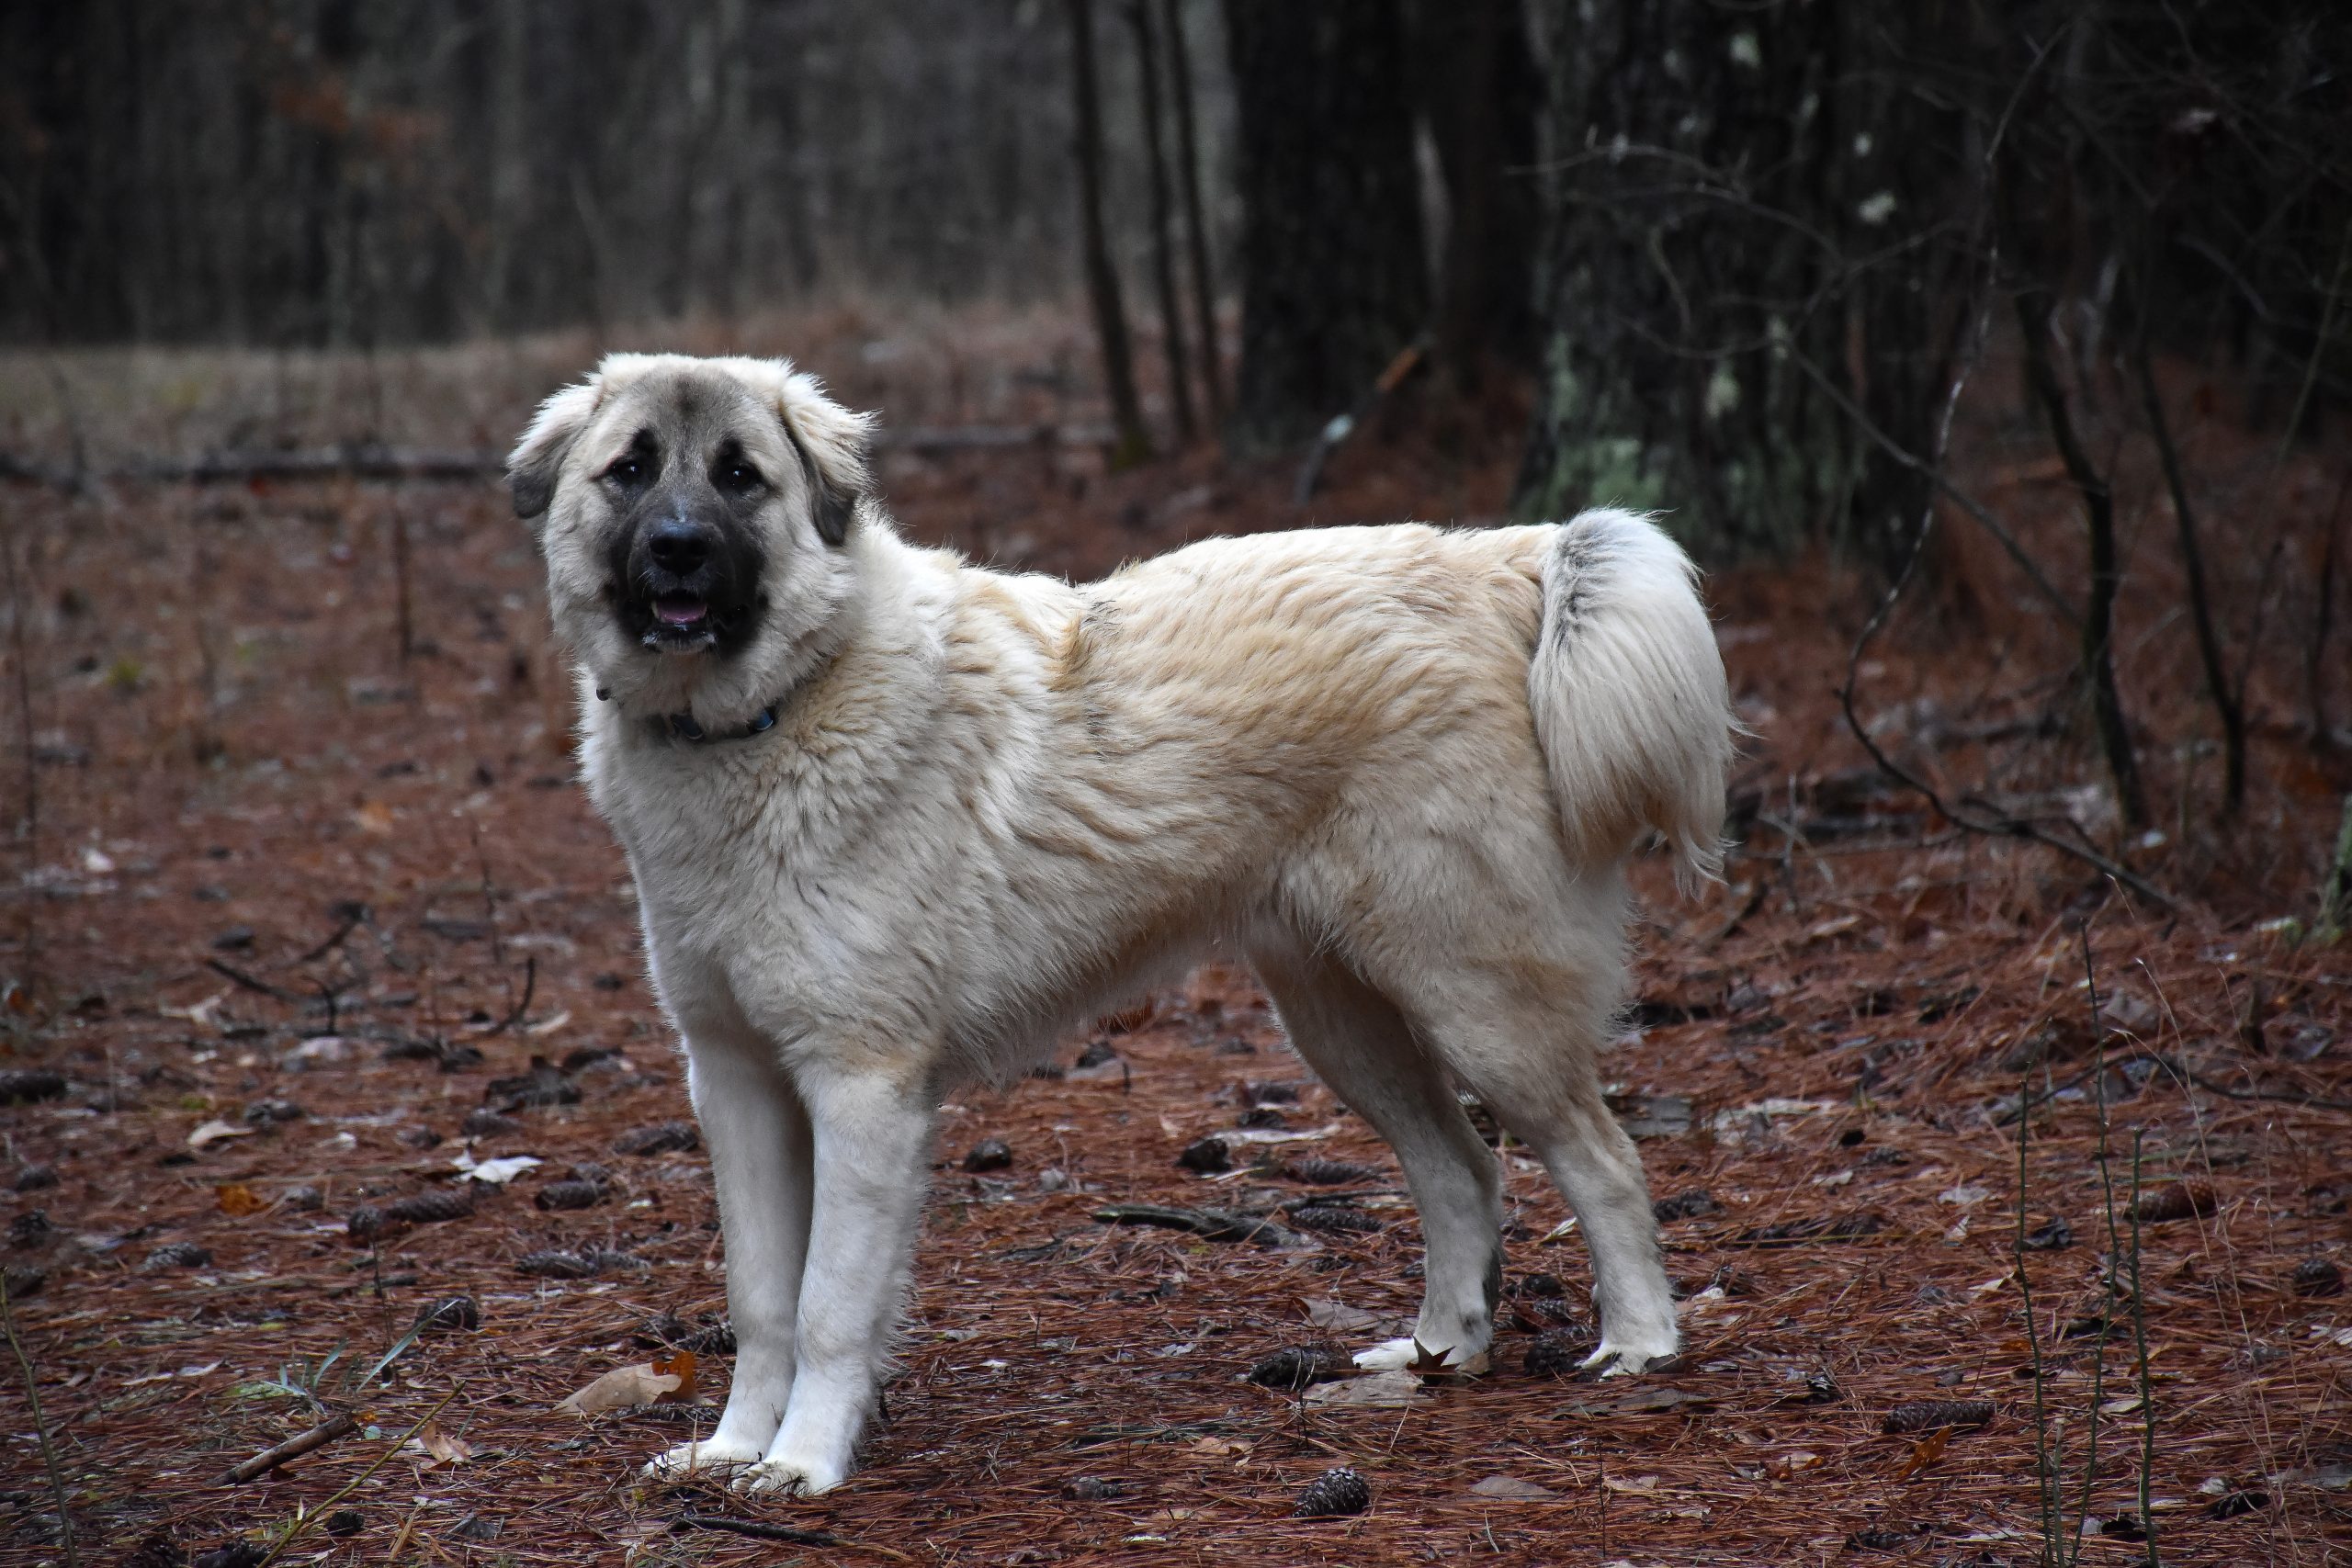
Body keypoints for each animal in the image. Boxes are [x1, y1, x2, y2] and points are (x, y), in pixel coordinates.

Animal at [510, 352, 1731, 1495]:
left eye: (740, 477)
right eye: (631, 471)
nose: (677, 548)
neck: (773, 712)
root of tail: (1501, 563)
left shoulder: (860, 1090)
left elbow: (826, 1308)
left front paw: (804, 1463)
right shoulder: (736, 1084)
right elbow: (761, 1300)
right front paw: (729, 1452)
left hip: (1480, 1008)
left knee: (1603, 1161)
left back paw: (1638, 1343)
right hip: (1341, 1023)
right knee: (1461, 1172)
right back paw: (1441, 1349)